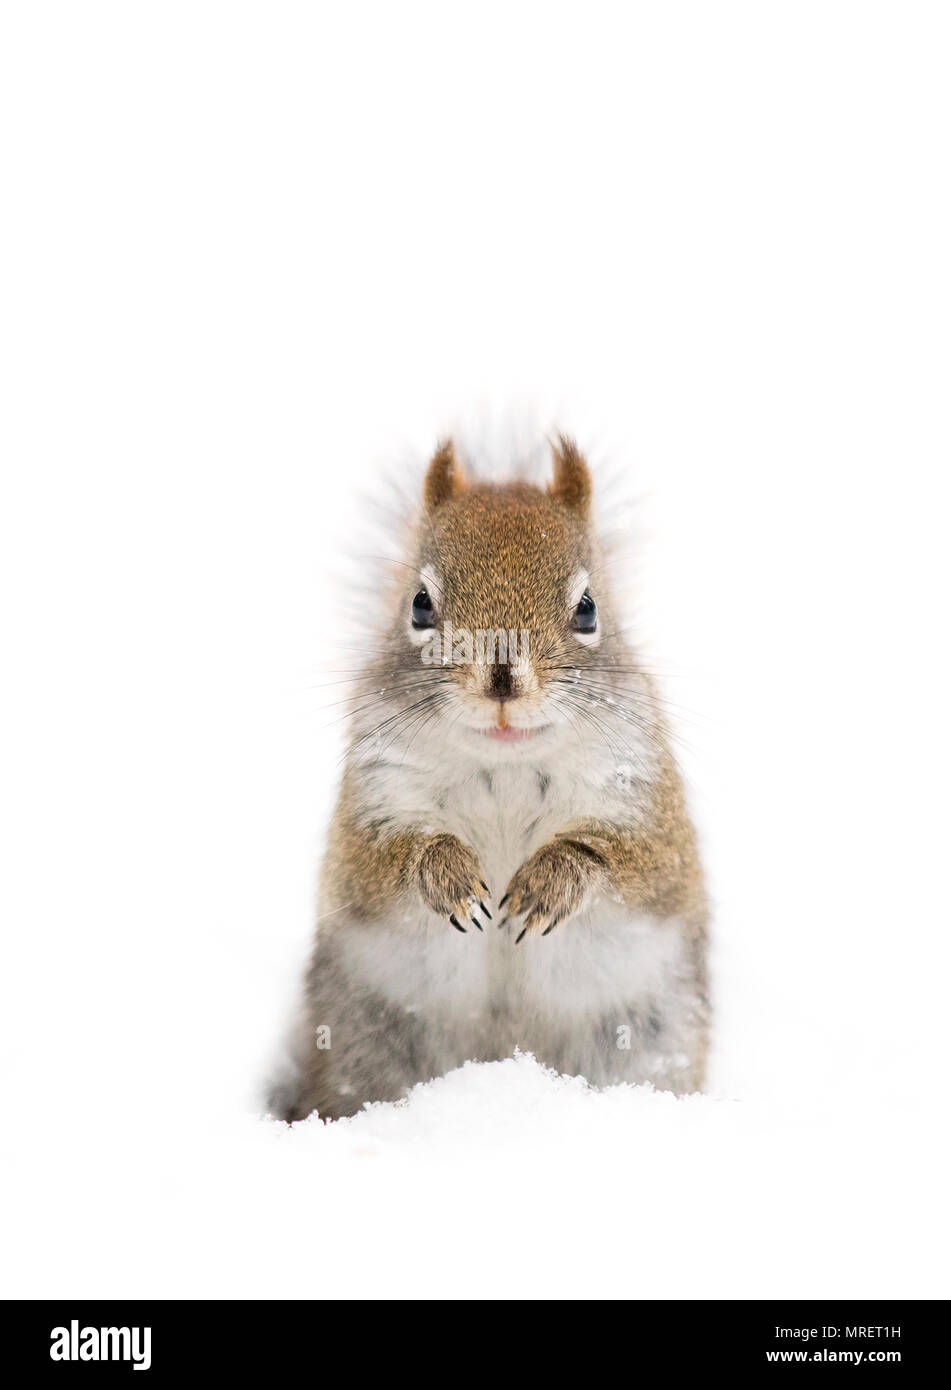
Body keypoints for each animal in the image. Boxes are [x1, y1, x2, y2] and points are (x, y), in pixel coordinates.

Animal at [266, 433, 706, 1117]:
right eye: (420, 604)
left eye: (588, 610)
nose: (502, 679)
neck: (506, 766)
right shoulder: (374, 798)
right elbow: (381, 861)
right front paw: (448, 876)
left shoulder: (643, 805)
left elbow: (634, 863)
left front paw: (548, 884)